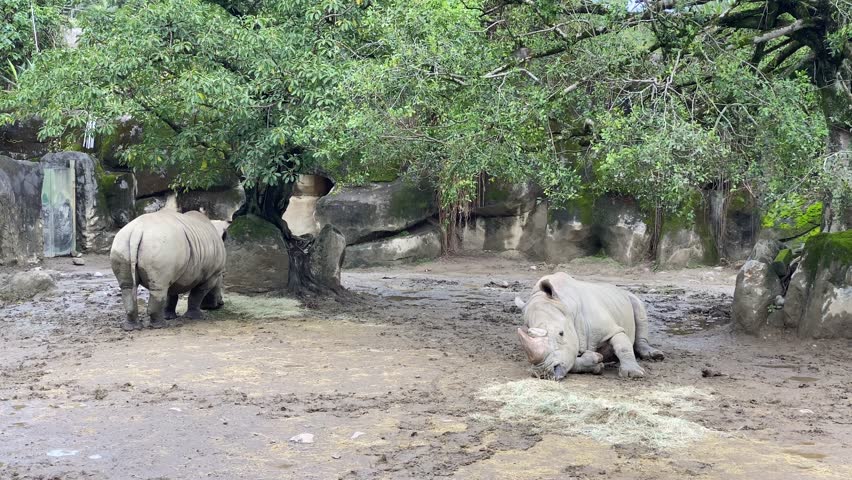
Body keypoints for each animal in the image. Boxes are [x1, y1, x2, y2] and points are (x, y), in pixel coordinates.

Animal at [515, 272, 663, 380]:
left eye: (561, 333)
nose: (542, 373)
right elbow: (570, 359)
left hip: (629, 295)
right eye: (528, 334)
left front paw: (633, 373)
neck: (566, 307)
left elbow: (622, 345)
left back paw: (655, 356)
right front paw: (596, 363)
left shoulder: (611, 329)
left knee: (639, 308)